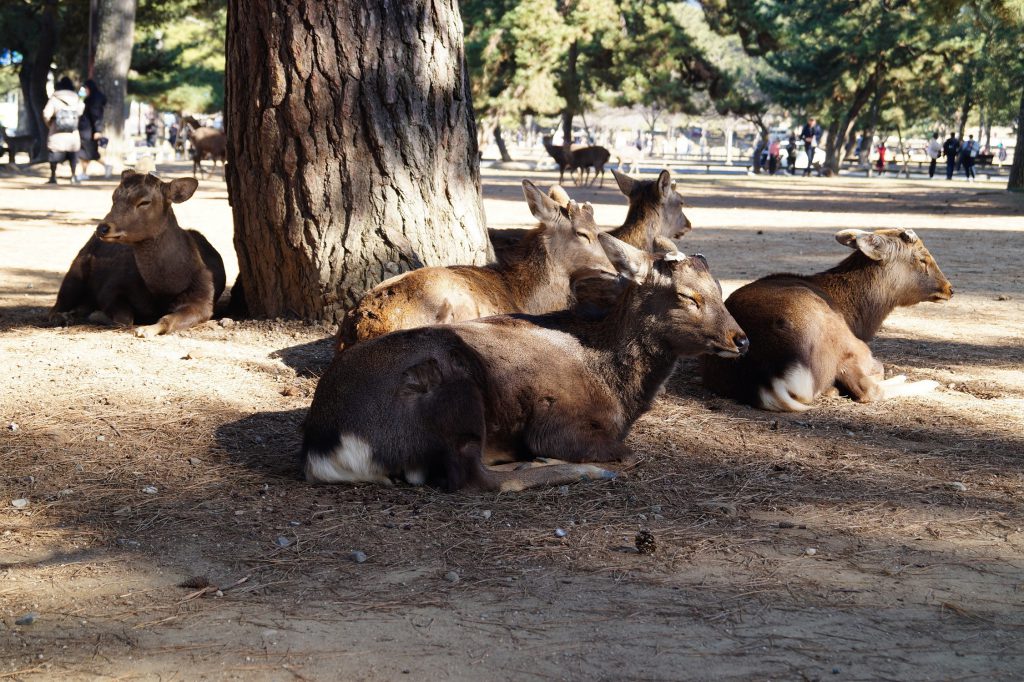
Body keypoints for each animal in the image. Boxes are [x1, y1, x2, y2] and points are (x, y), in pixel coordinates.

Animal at [49, 168, 226, 335]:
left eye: (144, 201)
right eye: (114, 197)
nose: (102, 228)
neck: (163, 290)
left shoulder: (204, 298)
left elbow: (168, 319)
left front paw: (146, 329)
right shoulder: (111, 286)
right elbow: (124, 319)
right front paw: (98, 315)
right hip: (76, 270)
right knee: (58, 303)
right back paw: (63, 316)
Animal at [299, 231, 749, 491]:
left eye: (719, 287)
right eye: (687, 296)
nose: (741, 340)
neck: (618, 389)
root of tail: (326, 447)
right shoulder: (560, 422)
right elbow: (627, 453)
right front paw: (560, 458)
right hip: (455, 387)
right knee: (475, 480)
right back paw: (569, 470)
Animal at [700, 228, 954, 409]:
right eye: (922, 258)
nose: (950, 288)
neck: (863, 318)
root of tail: (763, 378)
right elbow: (877, 370)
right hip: (839, 335)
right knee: (867, 389)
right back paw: (924, 382)